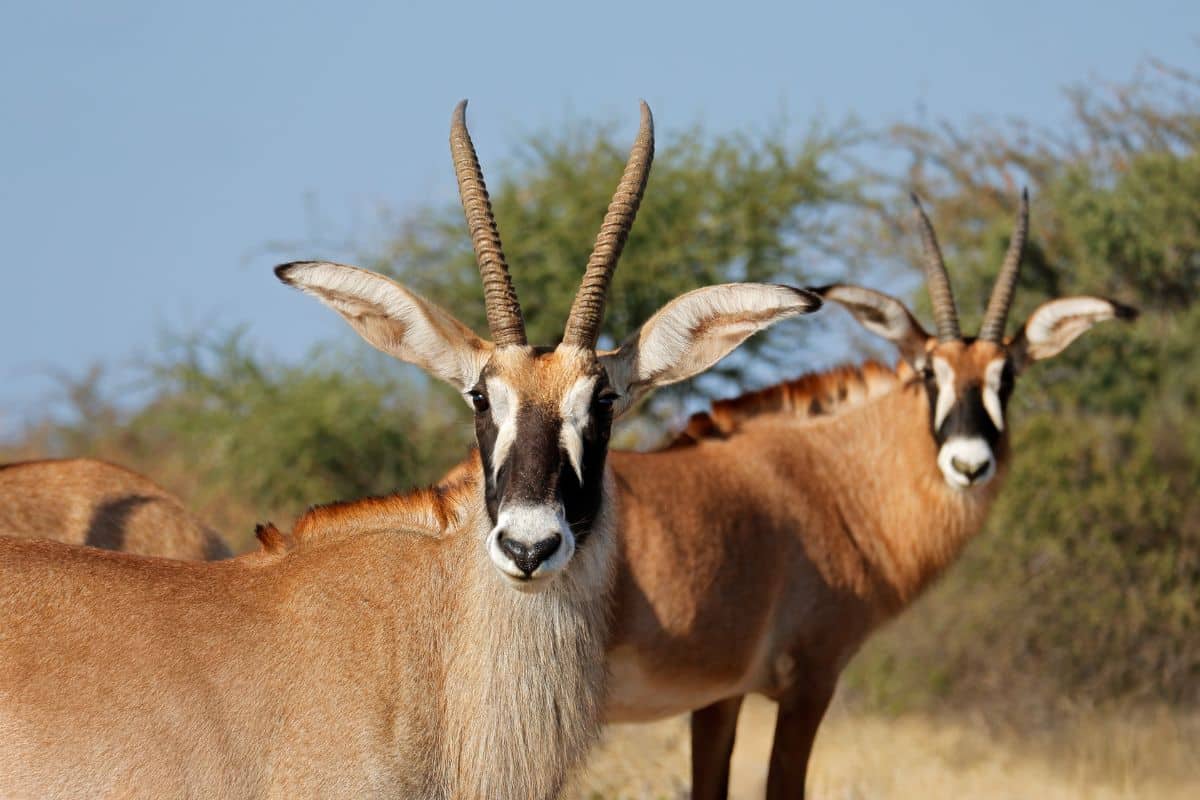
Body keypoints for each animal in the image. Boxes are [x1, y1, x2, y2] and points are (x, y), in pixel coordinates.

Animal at [600, 192, 1136, 799]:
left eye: (1008, 378)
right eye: (929, 373)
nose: (969, 464)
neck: (831, 481)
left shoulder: (721, 697)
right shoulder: (811, 681)